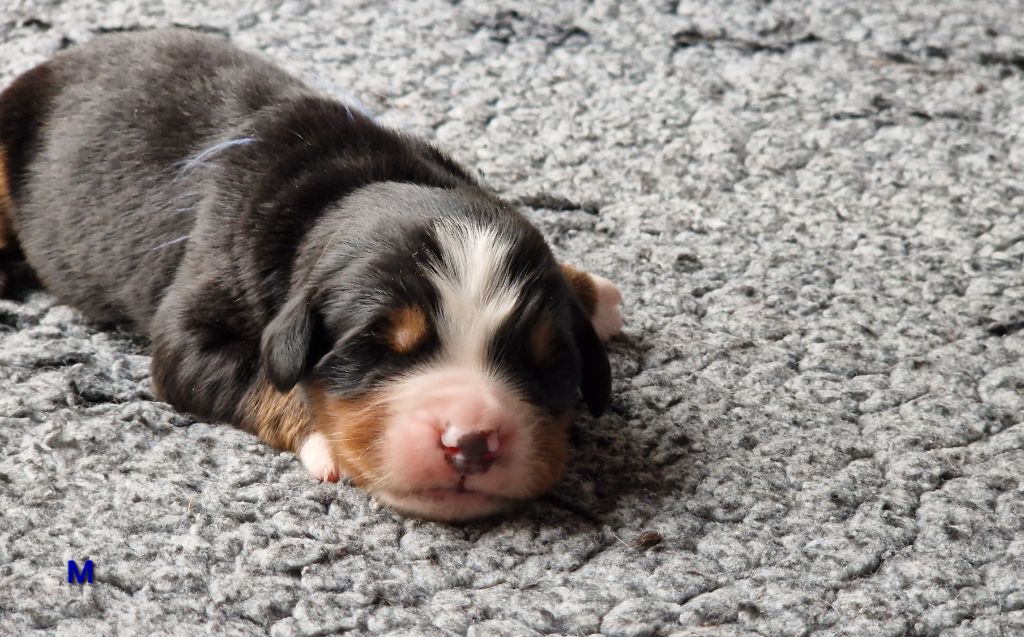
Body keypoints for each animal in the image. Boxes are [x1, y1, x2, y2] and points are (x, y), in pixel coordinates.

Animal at [0, 29, 622, 522]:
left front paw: (591, 290)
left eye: (545, 362)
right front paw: (324, 441)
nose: (471, 443)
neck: (346, 181)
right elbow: (261, 377)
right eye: (377, 347)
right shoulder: (192, 327)